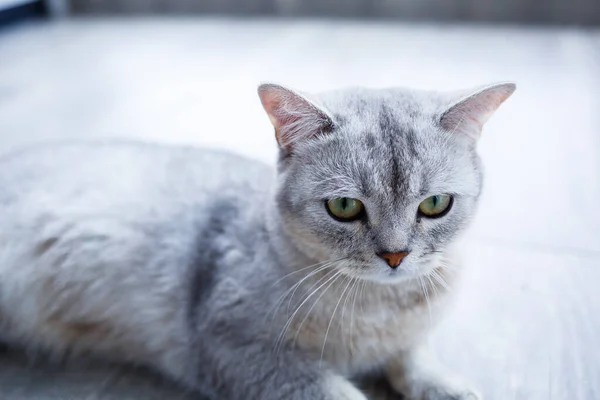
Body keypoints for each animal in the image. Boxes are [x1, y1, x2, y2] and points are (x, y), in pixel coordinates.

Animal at [0, 82, 516, 400]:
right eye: (344, 207)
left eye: (435, 204)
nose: (395, 256)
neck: (379, 308)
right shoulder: (235, 347)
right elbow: (337, 391)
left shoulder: (410, 336)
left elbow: (415, 357)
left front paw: (446, 385)